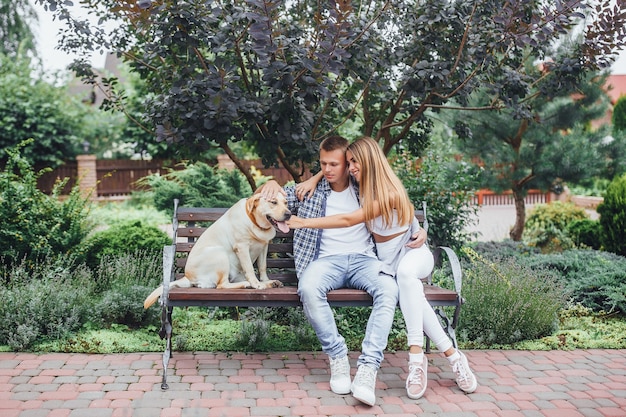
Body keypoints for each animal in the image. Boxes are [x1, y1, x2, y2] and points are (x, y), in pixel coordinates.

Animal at [144, 193, 292, 308]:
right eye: (273, 202)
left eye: (286, 203)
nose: (289, 214)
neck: (255, 223)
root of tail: (188, 277)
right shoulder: (242, 247)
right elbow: (250, 268)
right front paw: (257, 285)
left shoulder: (264, 246)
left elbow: (262, 267)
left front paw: (265, 281)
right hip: (219, 254)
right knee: (222, 285)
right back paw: (247, 284)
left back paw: (269, 283)